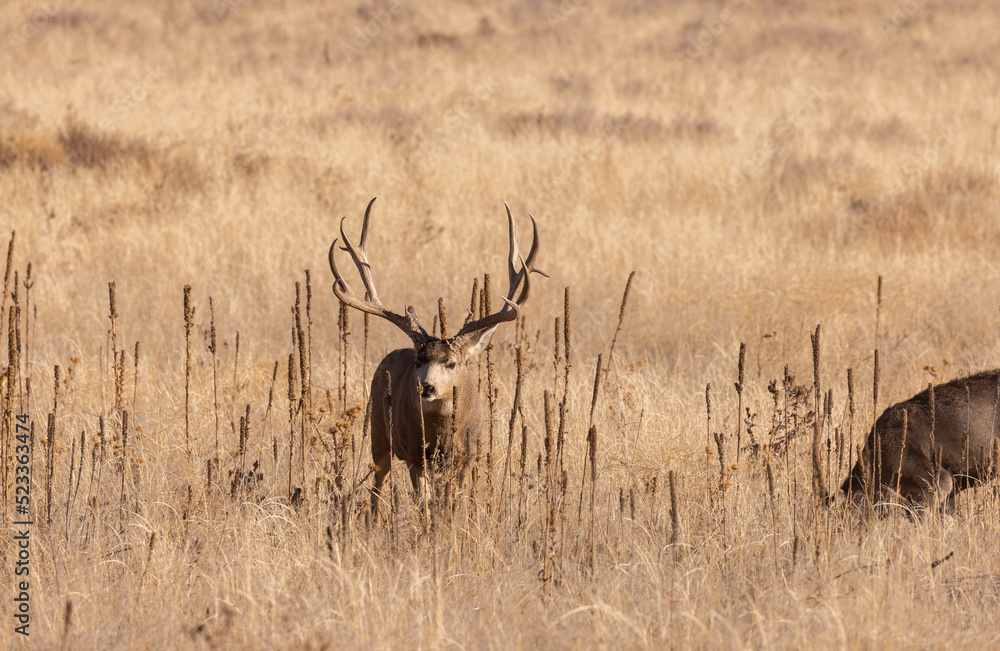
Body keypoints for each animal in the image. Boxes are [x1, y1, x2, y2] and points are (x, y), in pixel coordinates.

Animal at [328, 198, 543, 516]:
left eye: (452, 363)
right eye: (419, 361)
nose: (426, 387)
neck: (442, 436)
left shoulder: (468, 455)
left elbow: (457, 501)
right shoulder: (416, 456)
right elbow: (424, 503)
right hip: (379, 433)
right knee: (378, 484)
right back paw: (374, 518)